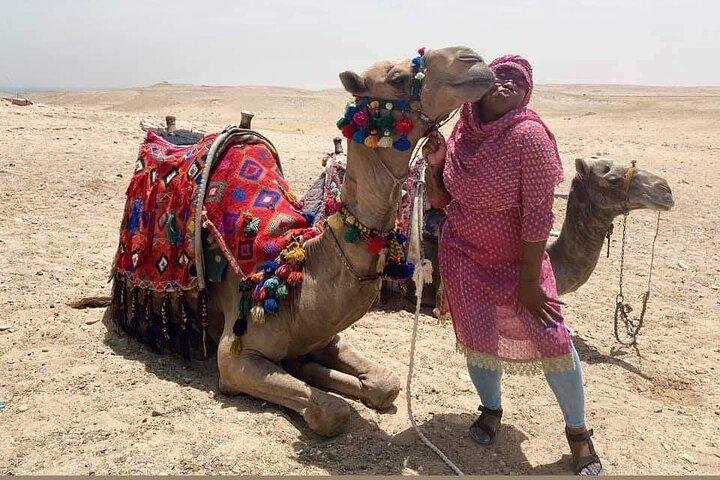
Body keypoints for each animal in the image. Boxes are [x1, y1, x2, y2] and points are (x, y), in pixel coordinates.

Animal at [74, 46, 497, 437]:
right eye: (397, 78)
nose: (473, 60)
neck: (293, 265)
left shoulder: (324, 334)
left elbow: (385, 384)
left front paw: (320, 371)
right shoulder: (235, 357)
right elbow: (331, 410)